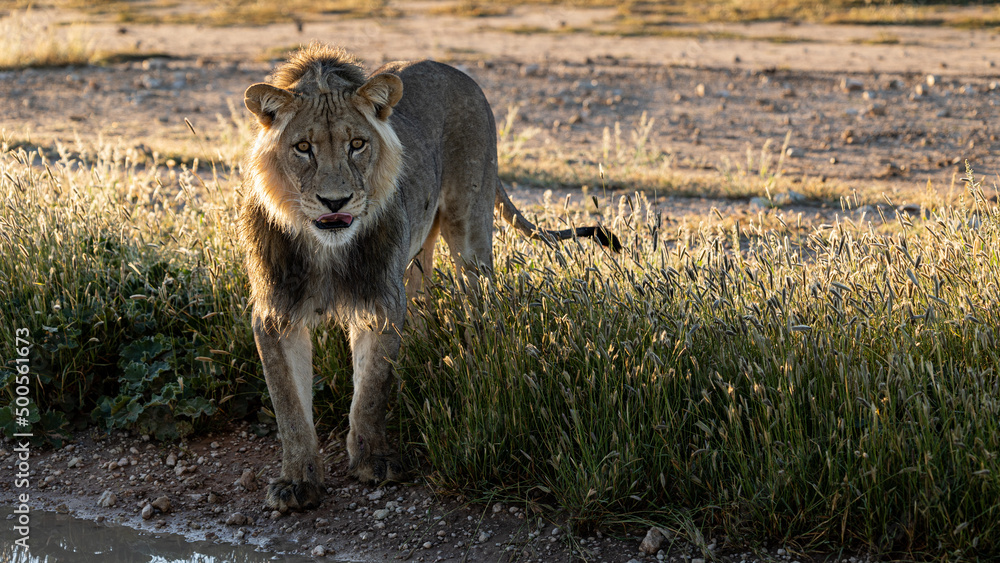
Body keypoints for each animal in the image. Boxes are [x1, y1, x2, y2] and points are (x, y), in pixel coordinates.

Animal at [239, 43, 619, 512]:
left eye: (357, 145)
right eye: (303, 147)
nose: (335, 202)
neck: (326, 248)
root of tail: (457, 71)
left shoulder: (381, 303)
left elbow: (371, 390)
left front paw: (373, 460)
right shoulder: (276, 314)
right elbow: (289, 406)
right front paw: (297, 481)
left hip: (470, 231)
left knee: (478, 303)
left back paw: (478, 365)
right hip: (418, 251)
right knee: (421, 301)